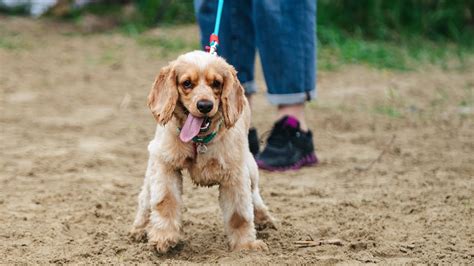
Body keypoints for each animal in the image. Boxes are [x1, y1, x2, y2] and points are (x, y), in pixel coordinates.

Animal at [130, 50, 276, 254]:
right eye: (186, 83)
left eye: (216, 83)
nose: (205, 105)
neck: (199, 141)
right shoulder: (166, 164)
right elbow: (166, 201)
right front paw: (164, 237)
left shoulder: (236, 174)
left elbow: (239, 214)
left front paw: (245, 246)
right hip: (153, 163)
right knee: (145, 197)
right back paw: (139, 229)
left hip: (251, 168)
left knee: (254, 194)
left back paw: (265, 219)